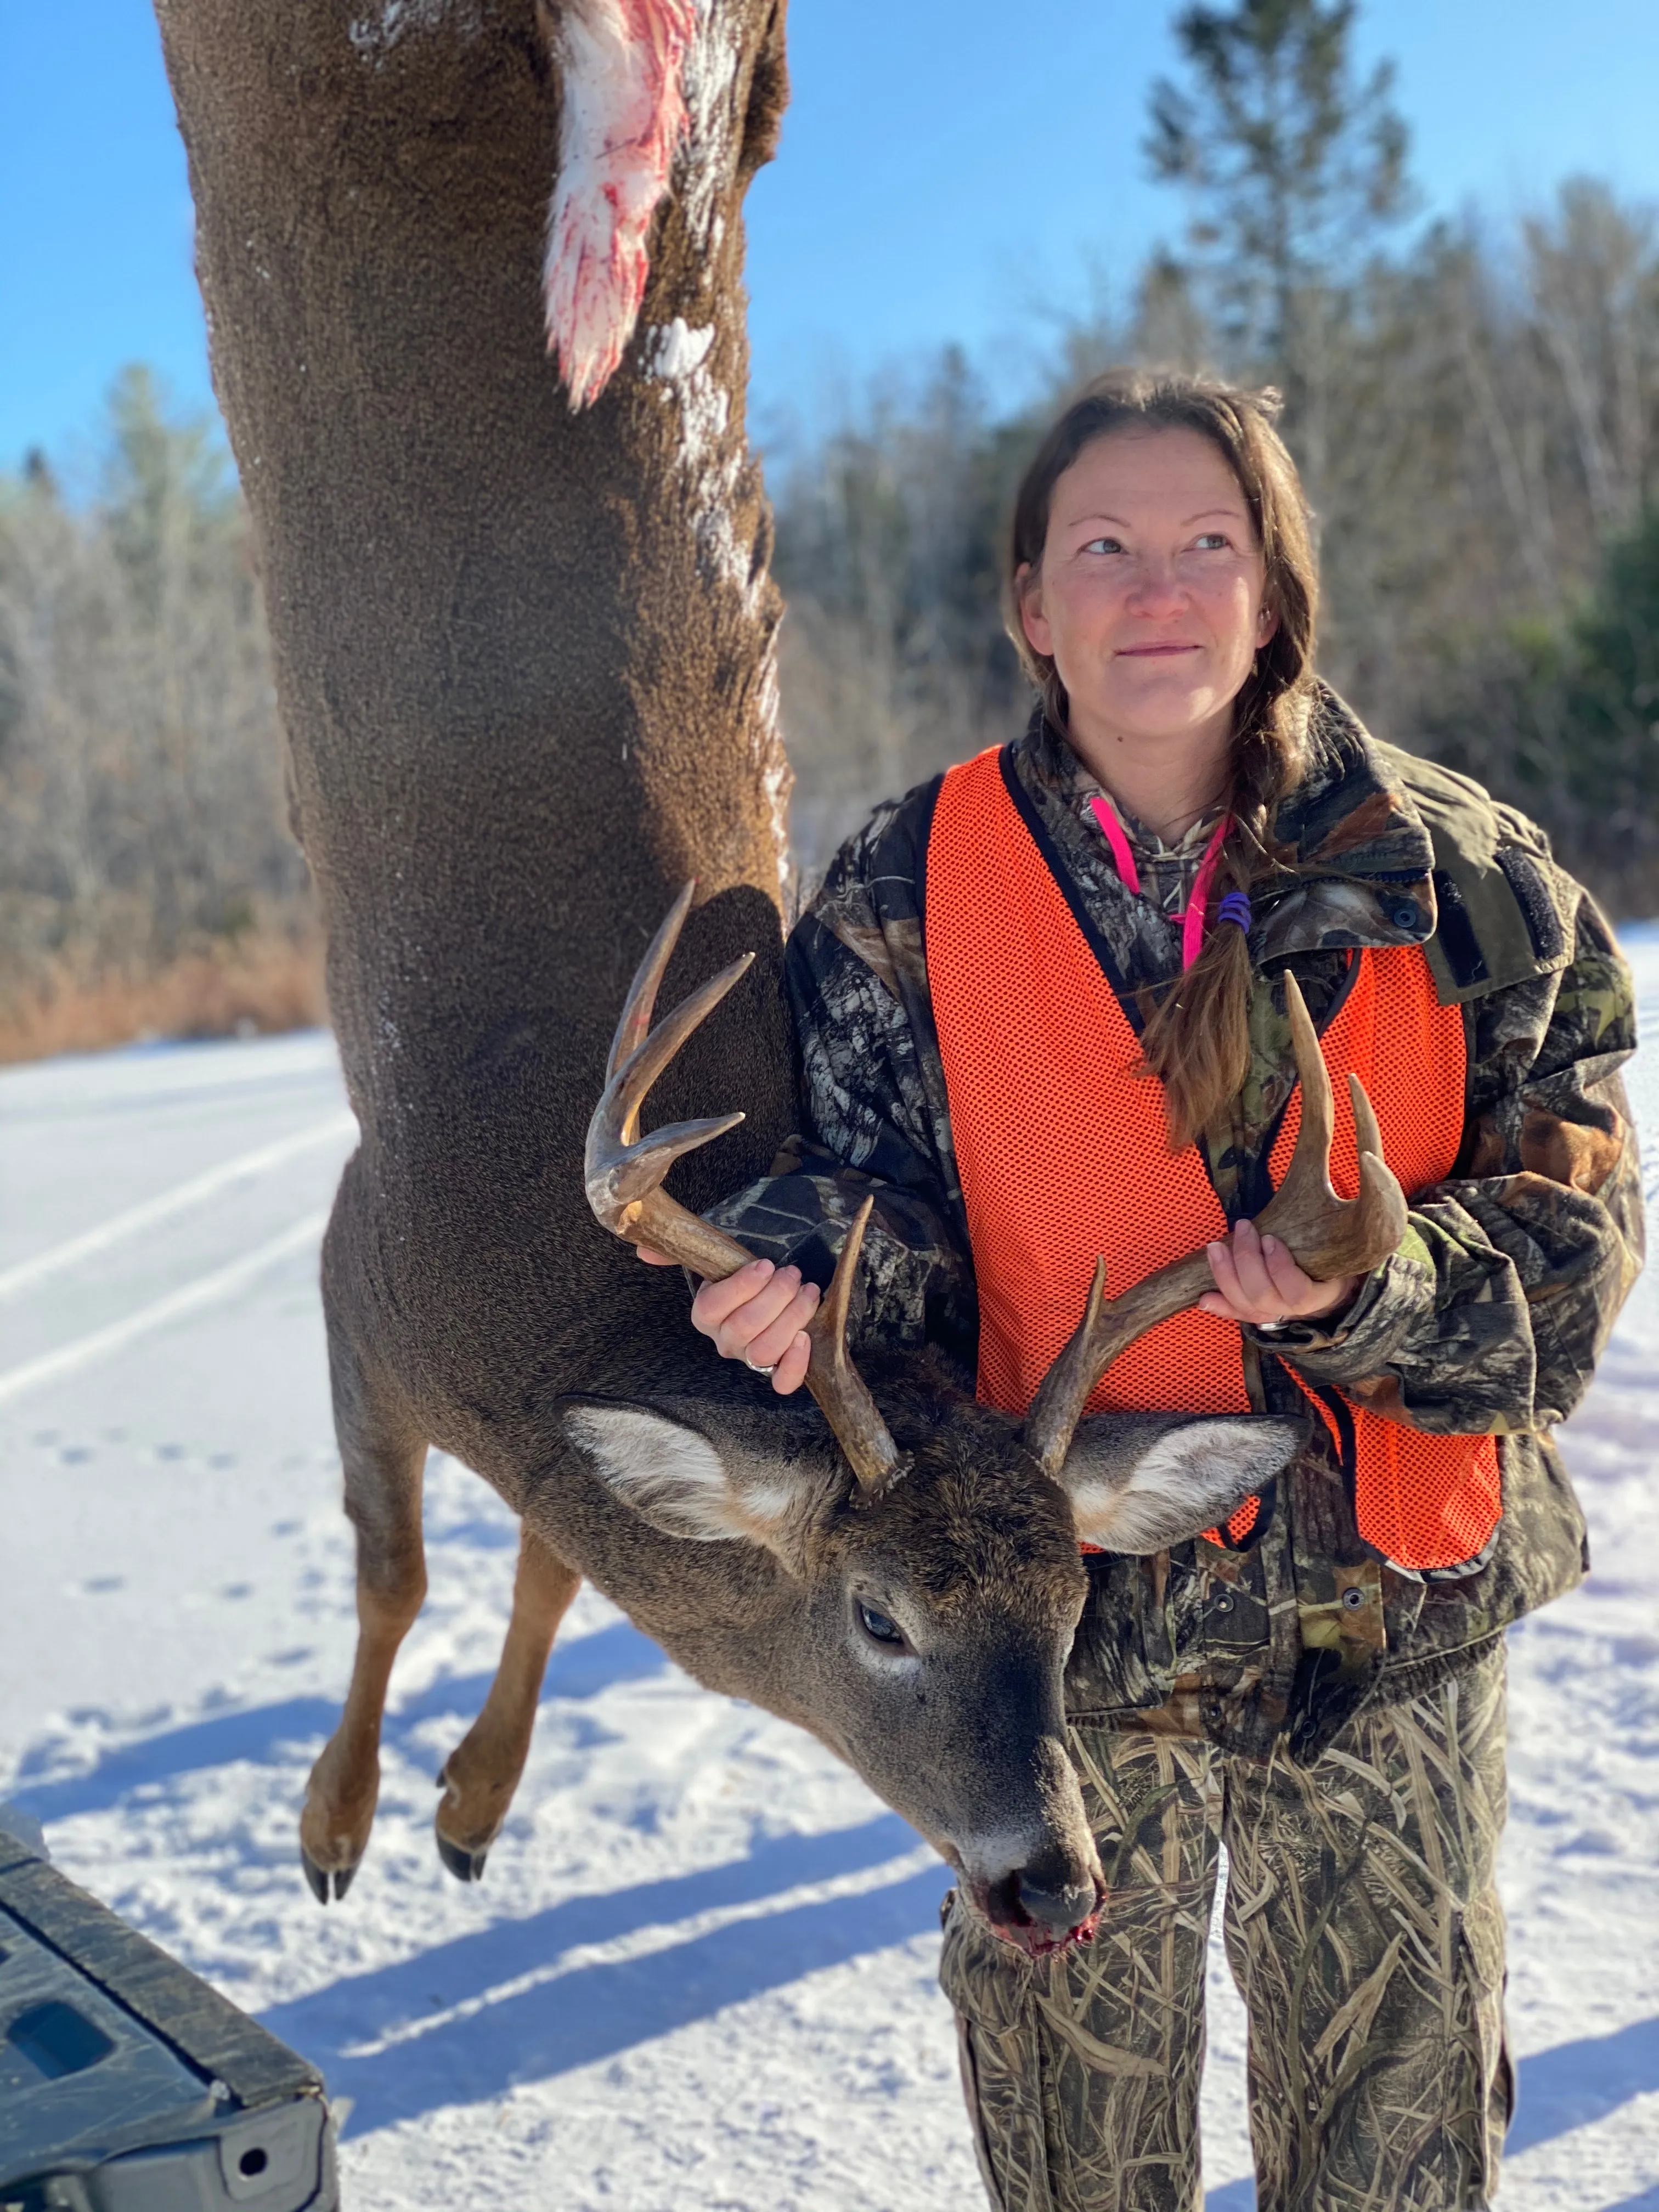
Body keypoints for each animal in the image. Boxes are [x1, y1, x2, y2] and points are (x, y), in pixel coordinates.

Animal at [152, 0, 1407, 1959]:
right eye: (880, 1615)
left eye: (1071, 1606)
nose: (1053, 1882)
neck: (558, 1326)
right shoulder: (363, 1264)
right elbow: (395, 1565)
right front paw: (337, 1826)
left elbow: (540, 1570)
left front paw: (471, 1809)